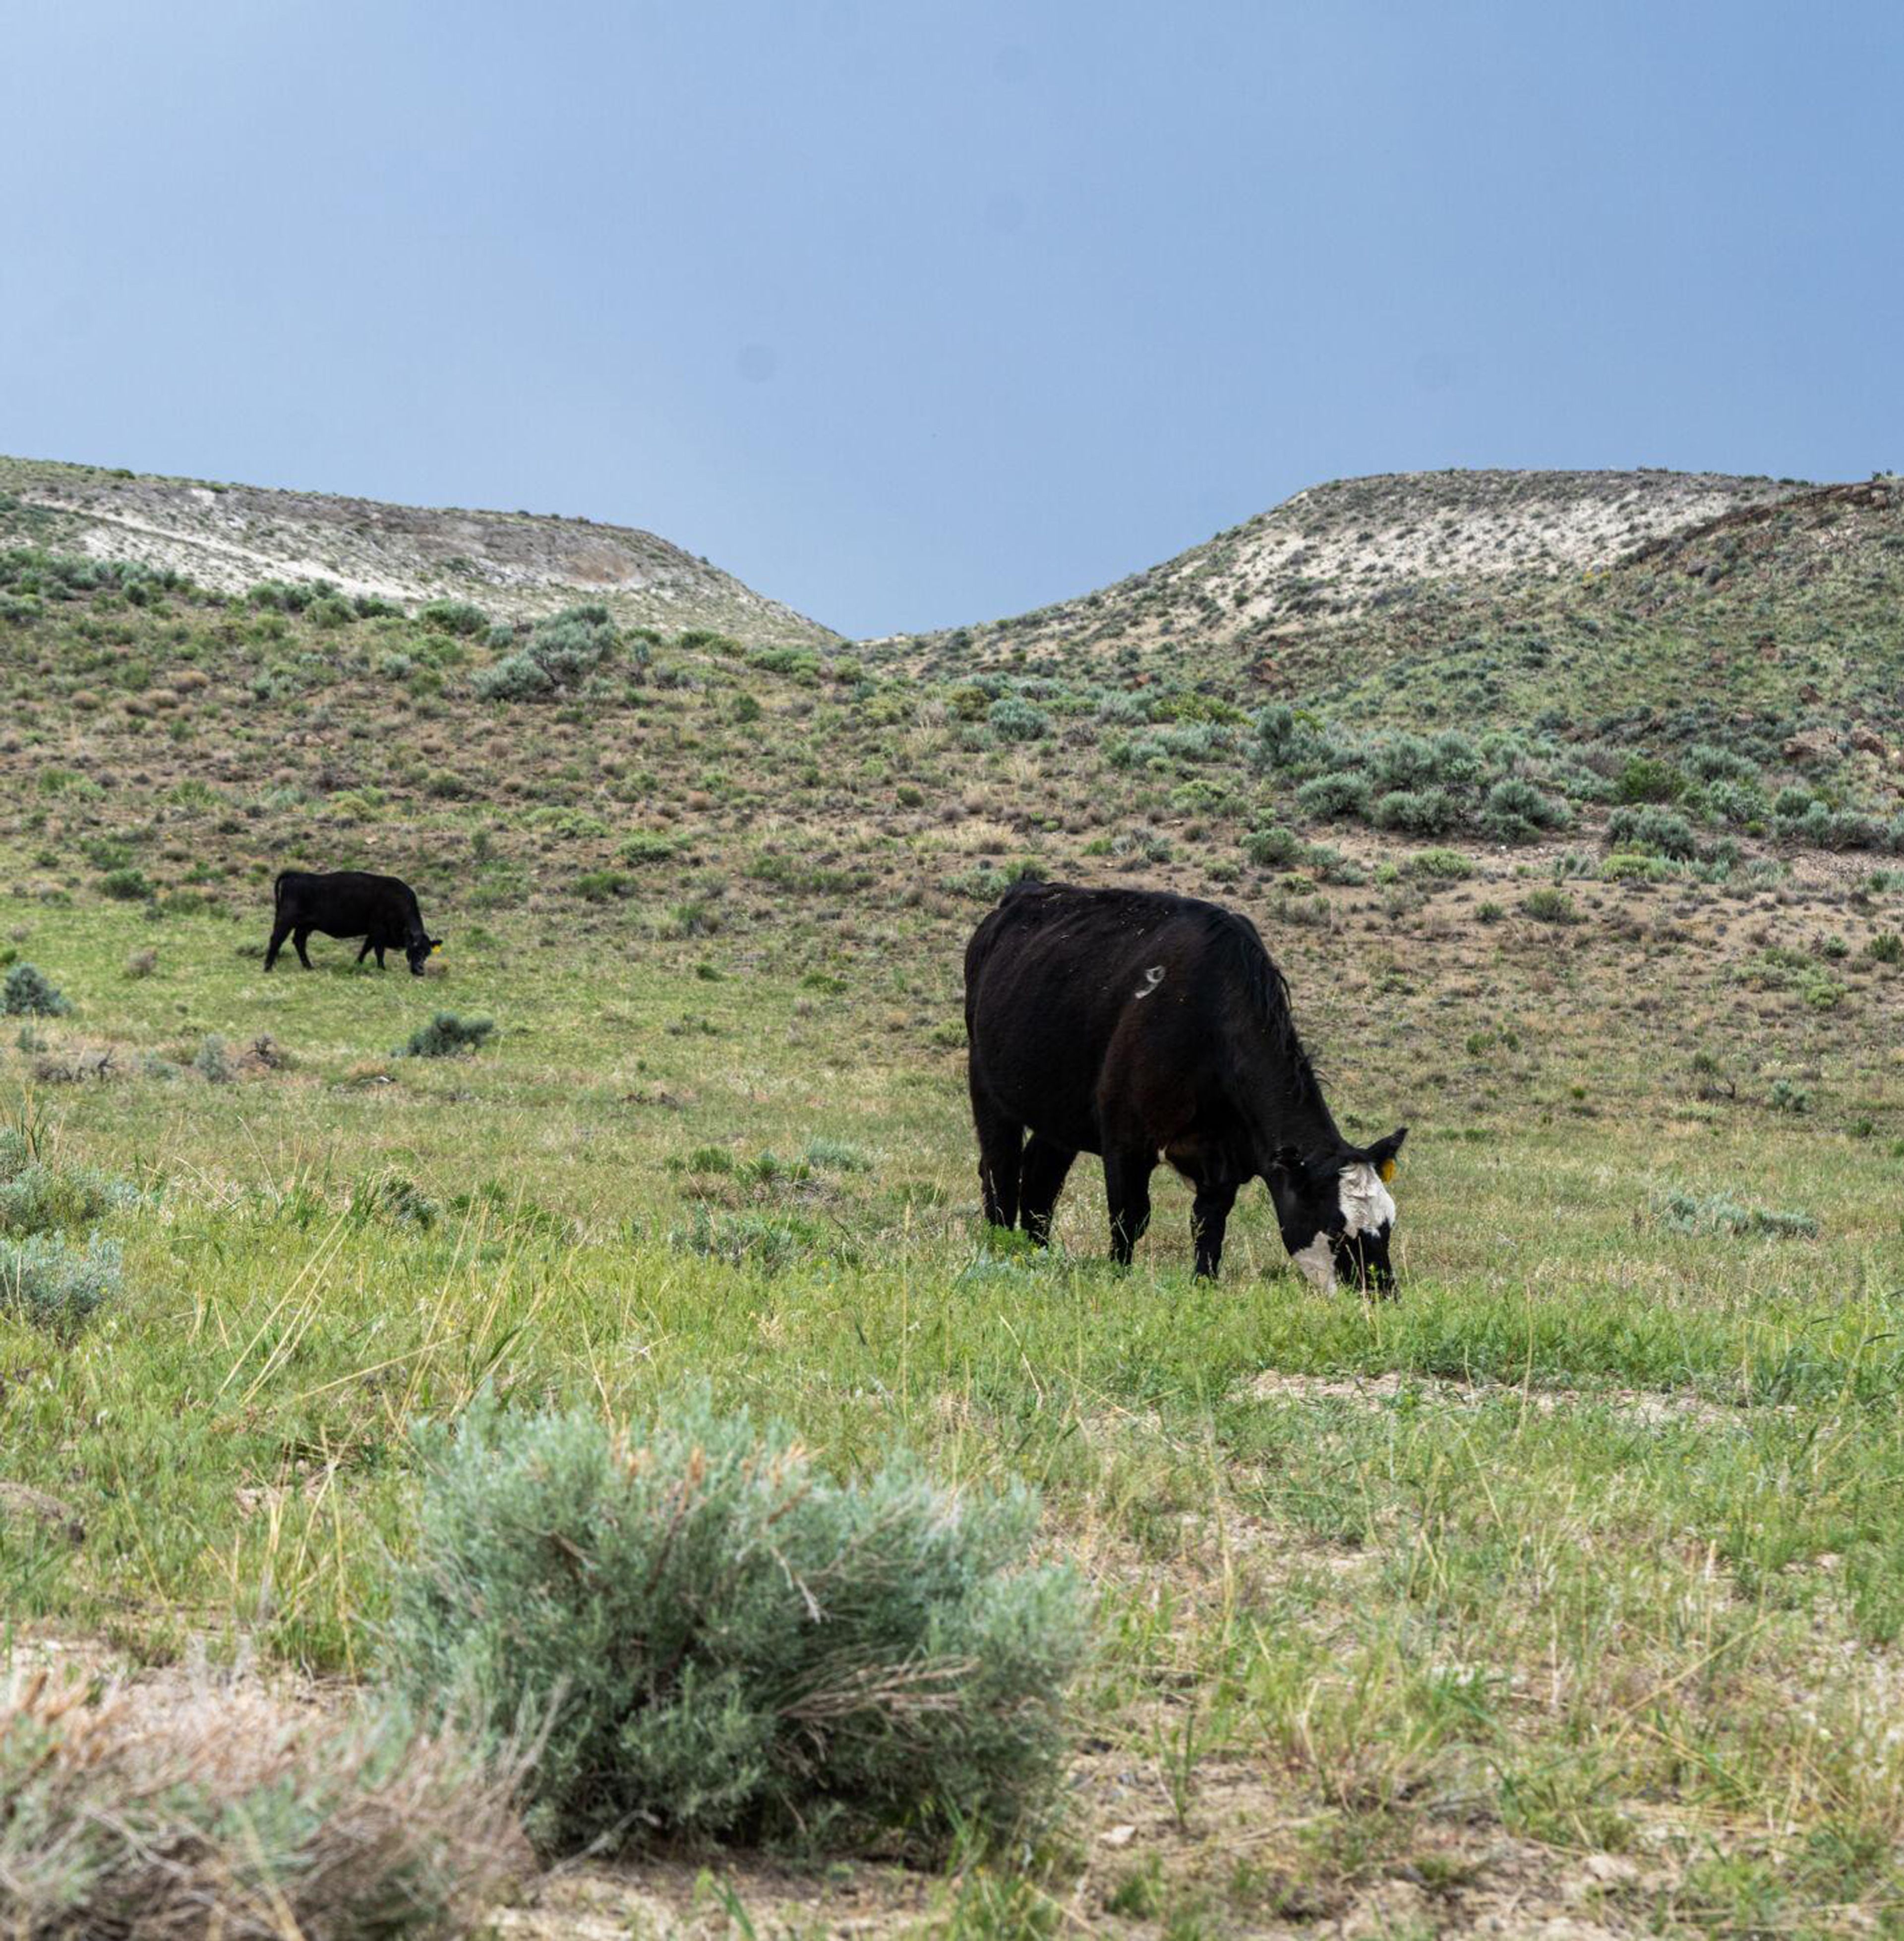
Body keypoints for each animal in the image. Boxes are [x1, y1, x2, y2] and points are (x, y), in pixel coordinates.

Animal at [264, 873, 442, 978]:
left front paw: (358, 964)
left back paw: (309, 967)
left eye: (428, 952)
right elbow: (379, 950)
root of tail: (296, 875)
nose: (420, 970)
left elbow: (366, 948)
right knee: (276, 940)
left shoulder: (373, 932)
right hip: (286, 920)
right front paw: (382, 969)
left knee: (299, 942)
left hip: (305, 926)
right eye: (414, 948)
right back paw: (268, 968)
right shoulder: (379, 929)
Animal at [966, 881, 1397, 1289]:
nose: (1381, 1291)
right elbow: (1129, 1218)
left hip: (1058, 1115)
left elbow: (1208, 1230)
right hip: (988, 1089)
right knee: (1000, 1172)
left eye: (1389, 1223)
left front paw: (1203, 1284)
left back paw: (1037, 1253)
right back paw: (1002, 1250)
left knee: (1039, 1181)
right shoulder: (1124, 1141)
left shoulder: (1222, 1162)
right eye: (1338, 1231)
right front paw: (1118, 1277)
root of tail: (1019, 895)